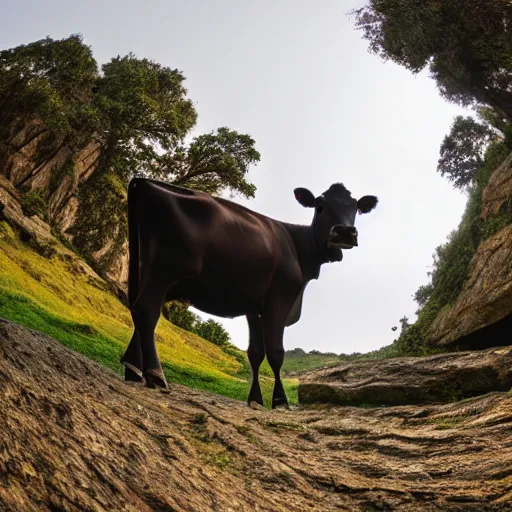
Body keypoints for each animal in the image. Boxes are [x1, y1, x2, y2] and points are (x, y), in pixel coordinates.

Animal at [119, 178, 376, 410]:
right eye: (319, 206)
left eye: (355, 207)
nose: (344, 232)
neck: (299, 249)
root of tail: (146, 182)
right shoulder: (280, 298)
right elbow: (275, 351)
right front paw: (280, 400)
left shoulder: (254, 307)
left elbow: (255, 353)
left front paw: (255, 399)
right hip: (165, 268)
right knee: (147, 310)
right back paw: (155, 374)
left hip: (144, 269)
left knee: (139, 310)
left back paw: (133, 368)